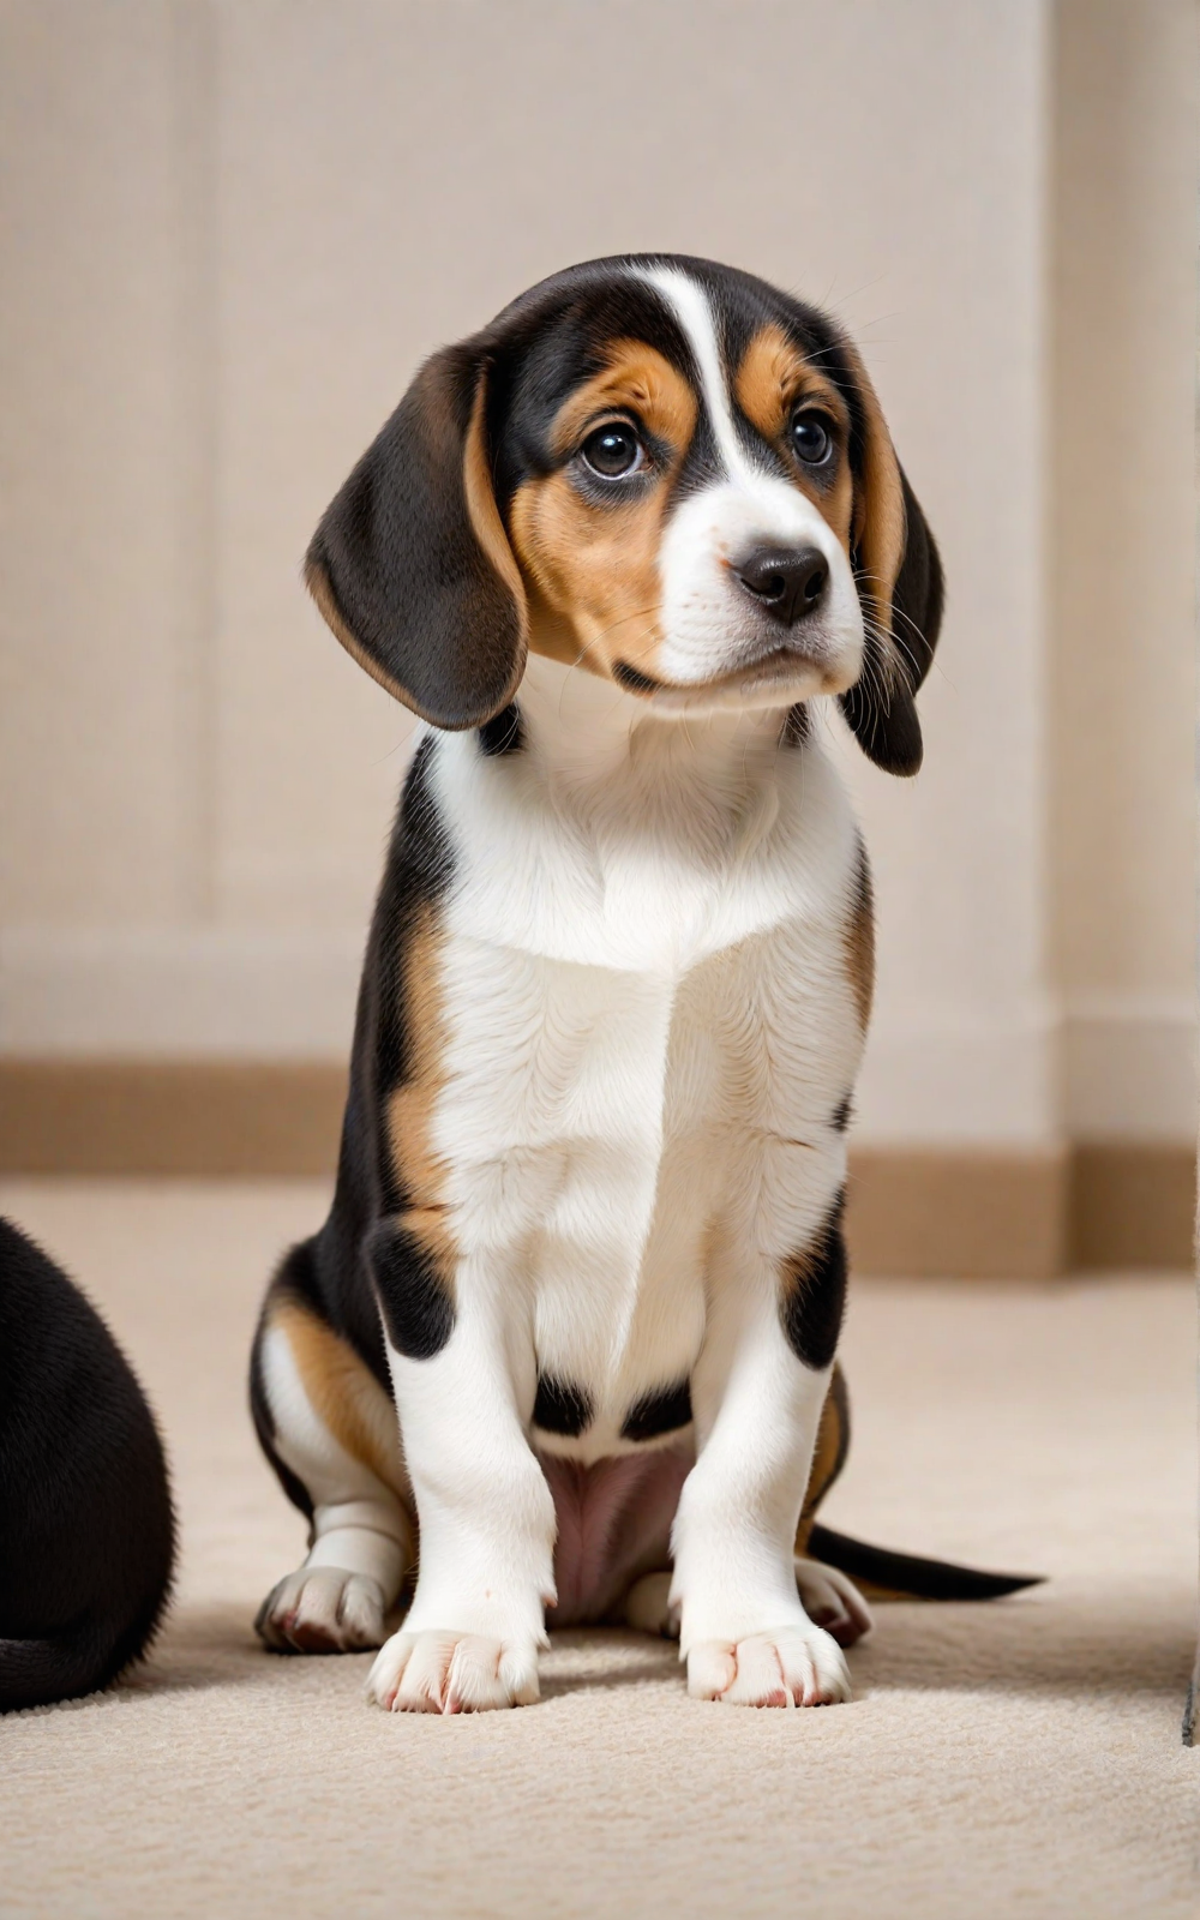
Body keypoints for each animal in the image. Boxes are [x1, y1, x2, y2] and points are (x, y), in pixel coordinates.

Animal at [249, 251, 1029, 1712]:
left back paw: (785, 1587)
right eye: (614, 449)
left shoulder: (791, 1223)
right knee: (368, 1503)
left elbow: (748, 1468)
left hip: (831, 1356)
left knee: (722, 1510)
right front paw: (466, 1633)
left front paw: (753, 1627)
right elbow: (474, 1469)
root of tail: (595, 1569)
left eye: (813, 437)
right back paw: (341, 1591)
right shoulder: (446, 1222)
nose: (794, 572)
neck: (647, 802)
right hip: (297, 1315)